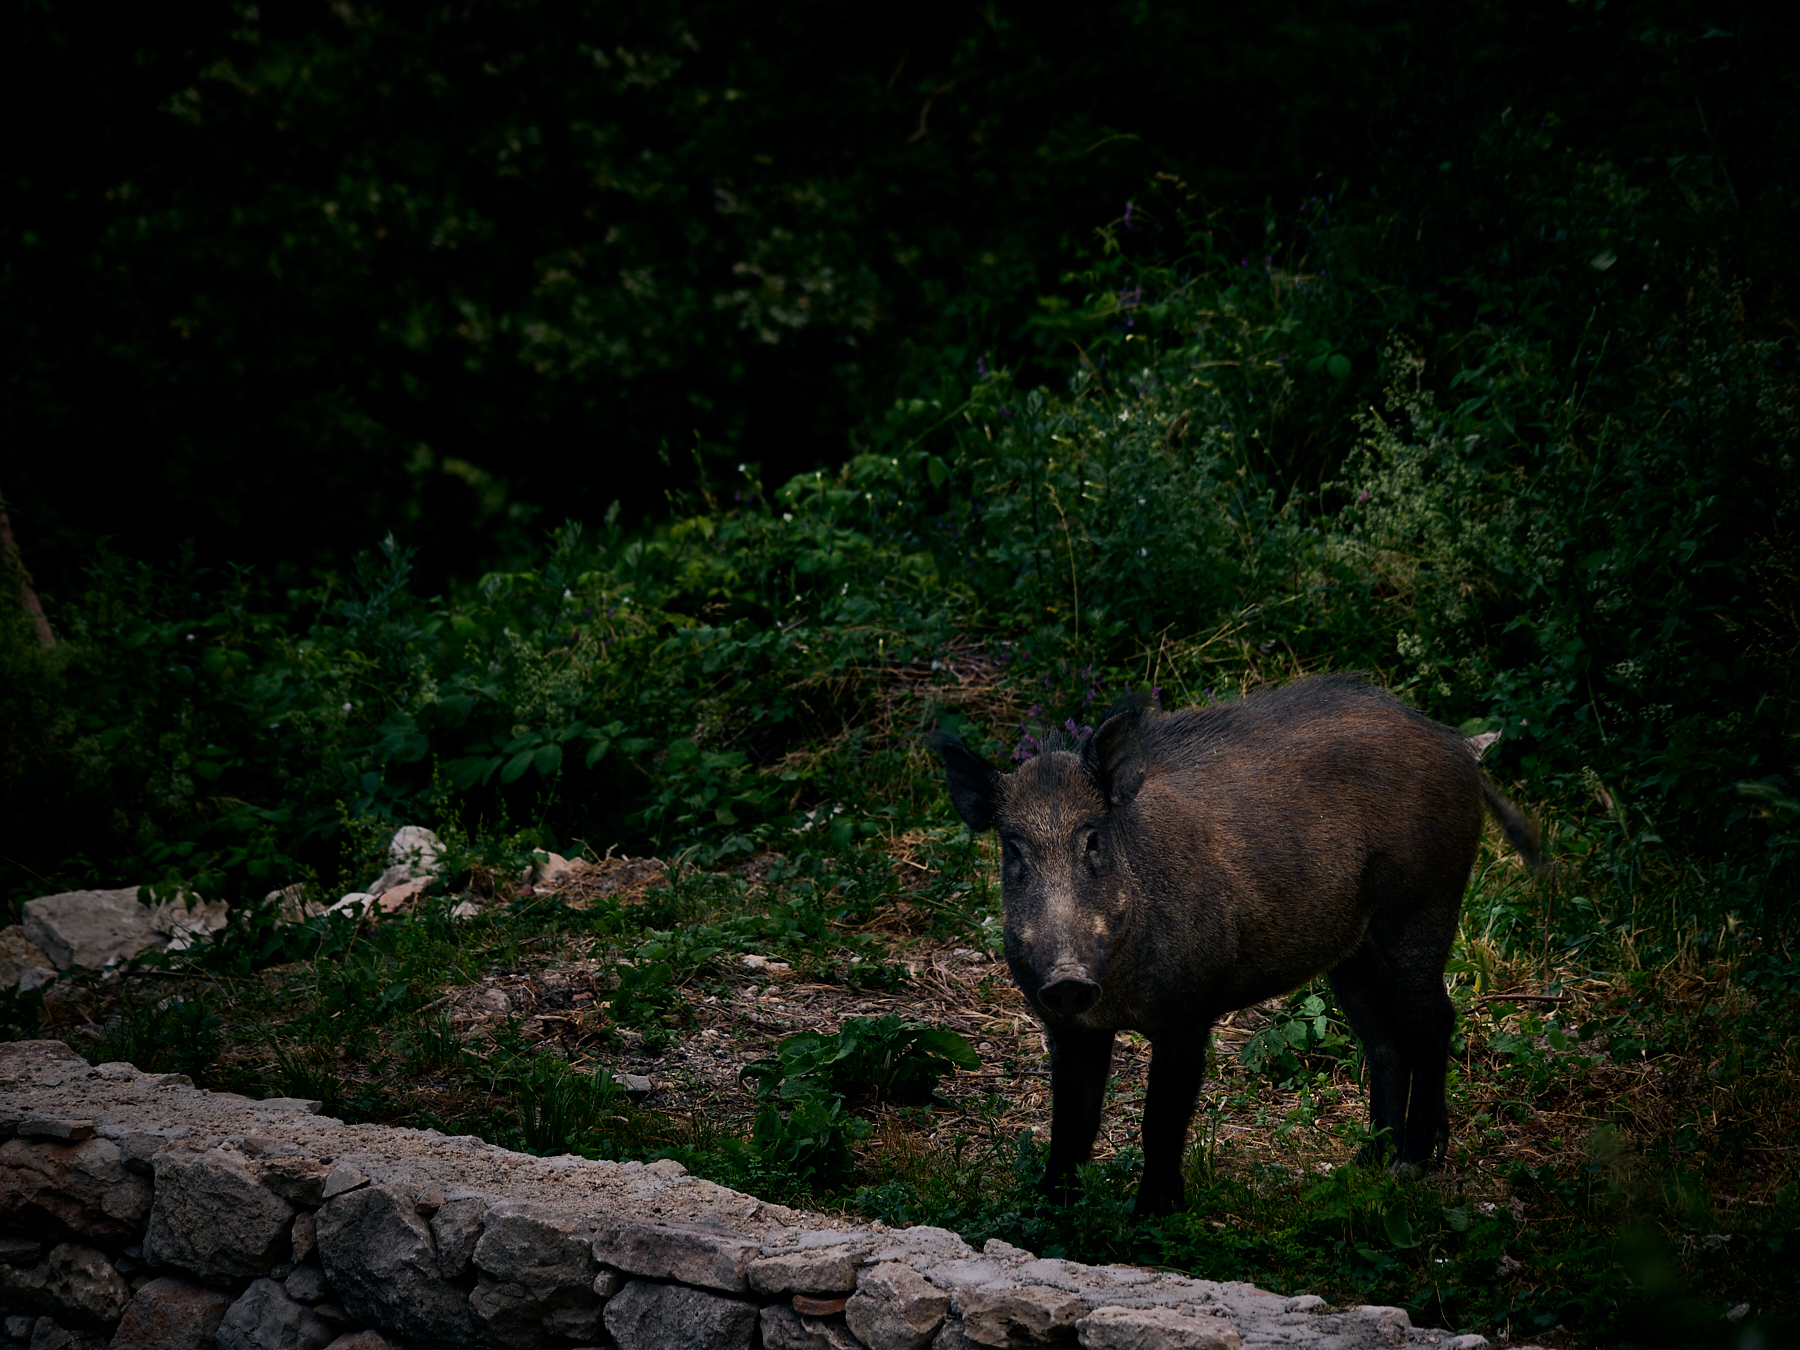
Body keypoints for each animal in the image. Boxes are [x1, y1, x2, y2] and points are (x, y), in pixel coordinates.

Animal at [928, 673, 1545, 1217]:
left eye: (1093, 840)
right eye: (1013, 849)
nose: (1067, 977)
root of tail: (1457, 747)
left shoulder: (1187, 1011)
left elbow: (1160, 1119)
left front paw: (1153, 1216)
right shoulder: (1067, 1025)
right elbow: (1072, 1123)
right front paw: (1048, 1210)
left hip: (1422, 911)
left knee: (1434, 1023)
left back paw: (1413, 1163)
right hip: (1353, 954)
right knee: (1385, 1043)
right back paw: (1366, 1165)